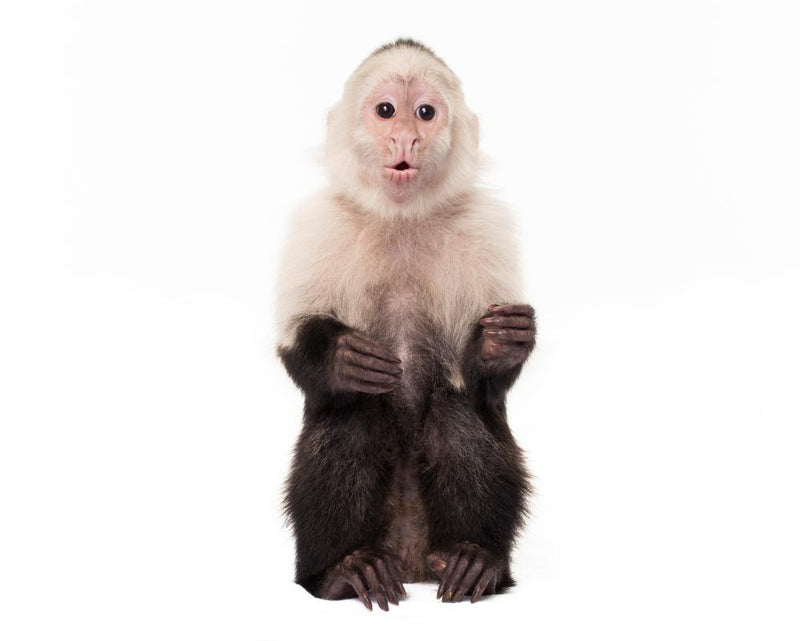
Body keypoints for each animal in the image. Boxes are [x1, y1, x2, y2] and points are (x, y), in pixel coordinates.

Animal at [276, 38, 536, 611]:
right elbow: (295, 351)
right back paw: (342, 570)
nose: (405, 138)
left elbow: (486, 388)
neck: (402, 218)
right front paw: (340, 356)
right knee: (353, 413)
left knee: (455, 409)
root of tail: (412, 558)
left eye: (425, 113)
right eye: (385, 110)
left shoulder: (485, 227)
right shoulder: (319, 224)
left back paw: (474, 559)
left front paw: (498, 345)